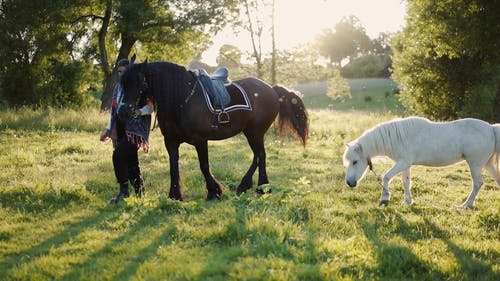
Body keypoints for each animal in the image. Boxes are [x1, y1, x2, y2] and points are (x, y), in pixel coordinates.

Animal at [120, 57, 308, 200]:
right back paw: (255, 187)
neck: (181, 100)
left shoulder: (200, 140)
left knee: (260, 155)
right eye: (122, 83)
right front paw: (174, 195)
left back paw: (255, 186)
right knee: (259, 156)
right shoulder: (171, 141)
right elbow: (173, 167)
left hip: (255, 132)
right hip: (252, 132)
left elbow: (204, 166)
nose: (123, 111)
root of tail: (271, 89)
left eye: (140, 83)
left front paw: (214, 192)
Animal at [342, 116, 500, 208]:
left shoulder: (403, 163)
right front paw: (407, 202)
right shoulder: (405, 164)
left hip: (475, 164)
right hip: (487, 164)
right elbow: (406, 182)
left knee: (478, 183)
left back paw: (466, 205)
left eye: (355, 161)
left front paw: (384, 199)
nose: (349, 183)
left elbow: (386, 177)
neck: (398, 137)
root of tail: (491, 128)